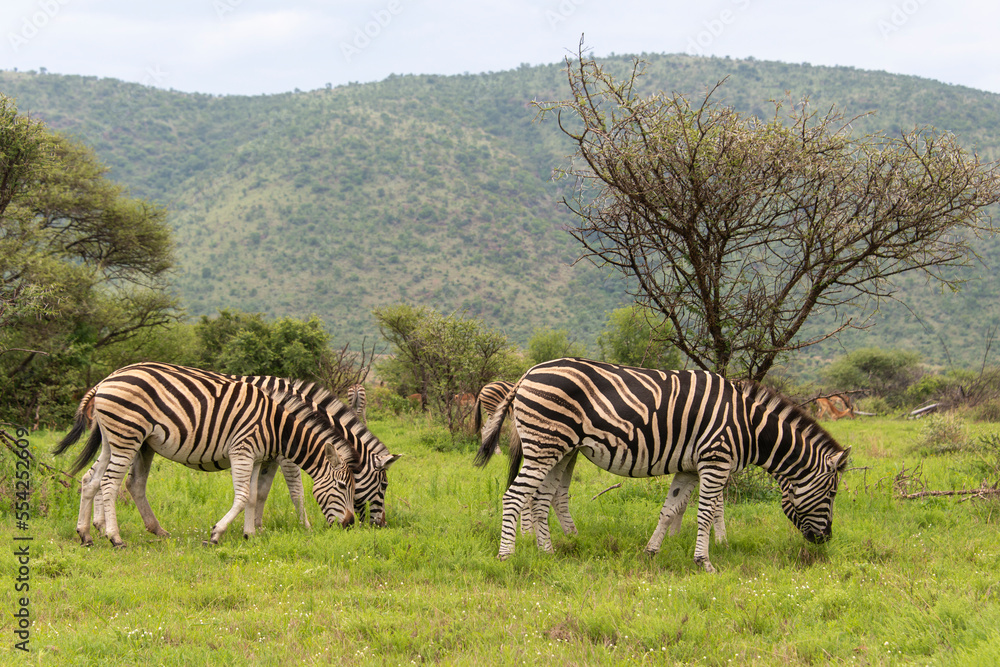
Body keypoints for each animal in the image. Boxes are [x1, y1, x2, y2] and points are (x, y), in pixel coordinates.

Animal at [54, 362, 360, 547]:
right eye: (342, 486)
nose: (349, 524)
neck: (277, 426)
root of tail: (105, 381)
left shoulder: (255, 457)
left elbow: (252, 497)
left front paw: (249, 534)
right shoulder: (242, 450)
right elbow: (245, 496)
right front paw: (216, 533)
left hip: (113, 438)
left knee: (91, 479)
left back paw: (86, 534)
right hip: (128, 436)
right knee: (109, 483)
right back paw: (115, 537)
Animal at [475, 358, 850, 573]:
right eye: (832, 494)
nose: (826, 540)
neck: (748, 427)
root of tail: (526, 375)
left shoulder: (689, 467)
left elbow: (670, 510)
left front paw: (651, 551)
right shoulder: (715, 460)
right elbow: (707, 512)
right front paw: (704, 562)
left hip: (560, 449)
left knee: (541, 499)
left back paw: (548, 553)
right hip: (544, 445)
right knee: (514, 496)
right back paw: (506, 556)